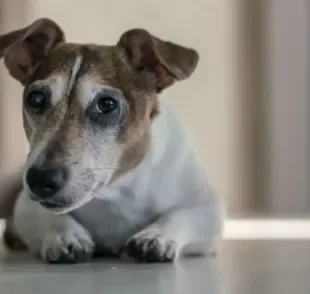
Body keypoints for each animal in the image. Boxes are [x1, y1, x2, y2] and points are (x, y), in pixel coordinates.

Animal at [0, 17, 223, 262]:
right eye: (36, 99)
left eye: (107, 104)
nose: (40, 179)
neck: (116, 190)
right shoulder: (25, 204)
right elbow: (49, 215)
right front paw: (66, 235)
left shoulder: (207, 207)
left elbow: (180, 216)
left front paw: (155, 236)